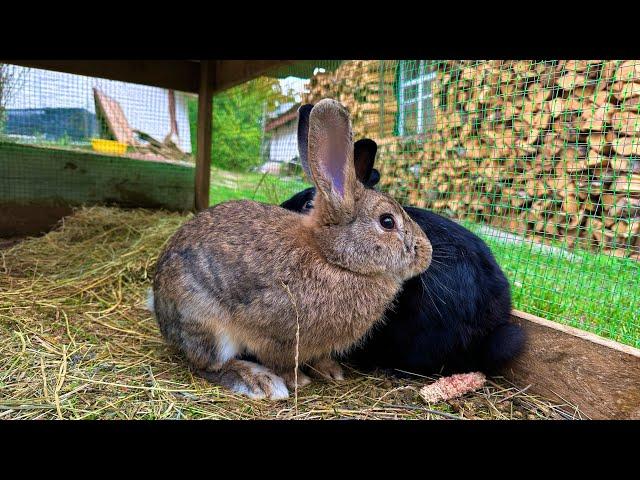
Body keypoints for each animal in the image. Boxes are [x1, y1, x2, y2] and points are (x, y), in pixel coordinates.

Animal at [151, 99, 430, 400]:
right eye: (387, 221)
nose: (427, 254)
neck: (332, 257)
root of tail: (162, 315)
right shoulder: (274, 335)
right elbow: (280, 360)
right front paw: (297, 380)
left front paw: (330, 370)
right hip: (207, 323)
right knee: (207, 364)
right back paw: (259, 381)